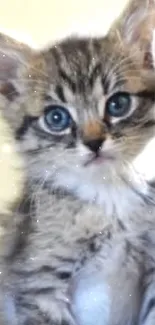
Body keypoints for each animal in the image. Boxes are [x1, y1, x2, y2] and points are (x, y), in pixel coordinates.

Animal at [0, 0, 155, 324]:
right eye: (56, 118)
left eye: (118, 104)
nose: (94, 143)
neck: (107, 197)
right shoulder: (39, 281)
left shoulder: (150, 264)